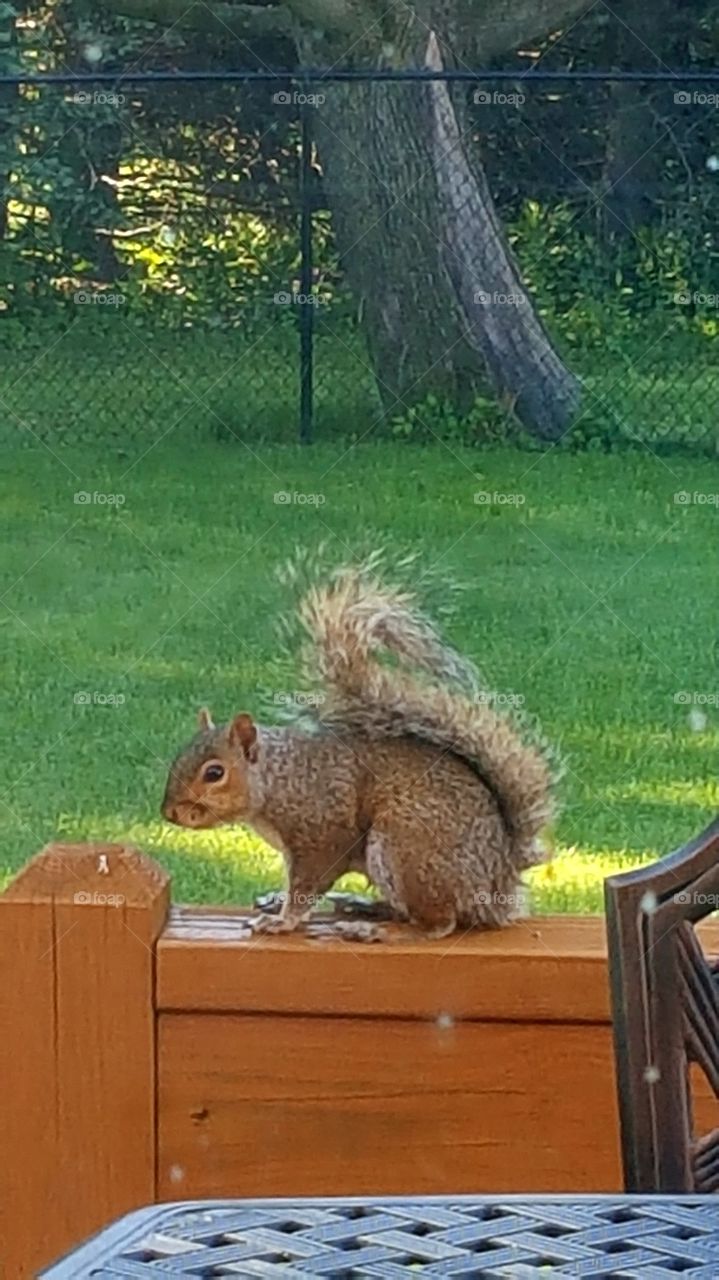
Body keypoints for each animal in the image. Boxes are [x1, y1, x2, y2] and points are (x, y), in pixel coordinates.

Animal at [161, 567, 554, 938]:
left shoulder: (322, 833)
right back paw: (365, 906)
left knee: (437, 925)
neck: (280, 778)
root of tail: (500, 882)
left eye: (214, 773)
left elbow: (307, 884)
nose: (169, 813)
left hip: (404, 849)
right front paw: (275, 900)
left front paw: (282, 921)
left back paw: (374, 930)